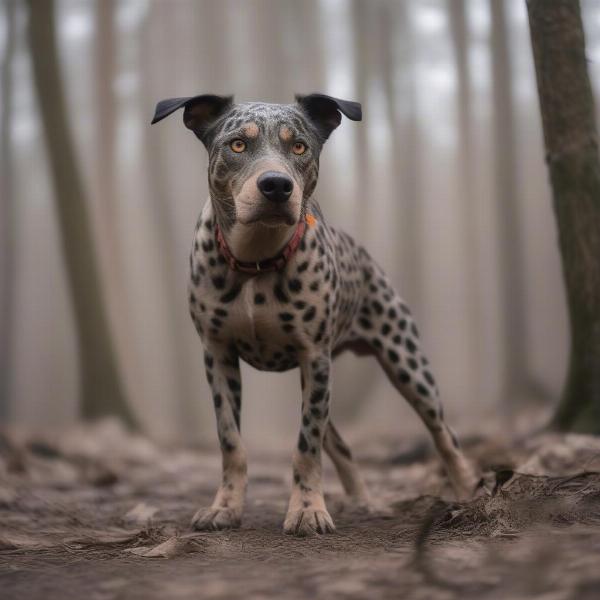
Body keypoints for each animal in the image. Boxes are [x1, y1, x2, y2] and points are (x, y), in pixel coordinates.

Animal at [151, 92, 478, 536]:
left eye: (299, 147)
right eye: (237, 144)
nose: (276, 185)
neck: (256, 259)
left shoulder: (314, 357)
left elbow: (305, 445)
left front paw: (307, 510)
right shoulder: (218, 355)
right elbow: (231, 440)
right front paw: (225, 507)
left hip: (405, 363)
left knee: (443, 433)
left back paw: (466, 490)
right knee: (337, 440)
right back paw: (361, 499)